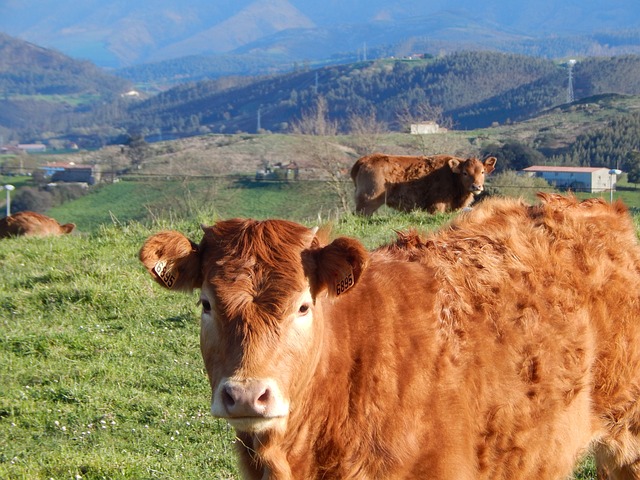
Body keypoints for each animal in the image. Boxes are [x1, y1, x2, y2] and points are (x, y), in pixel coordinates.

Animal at [350, 153, 496, 215]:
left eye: (482, 172)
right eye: (465, 173)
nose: (476, 186)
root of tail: (368, 158)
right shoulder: (437, 206)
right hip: (367, 202)